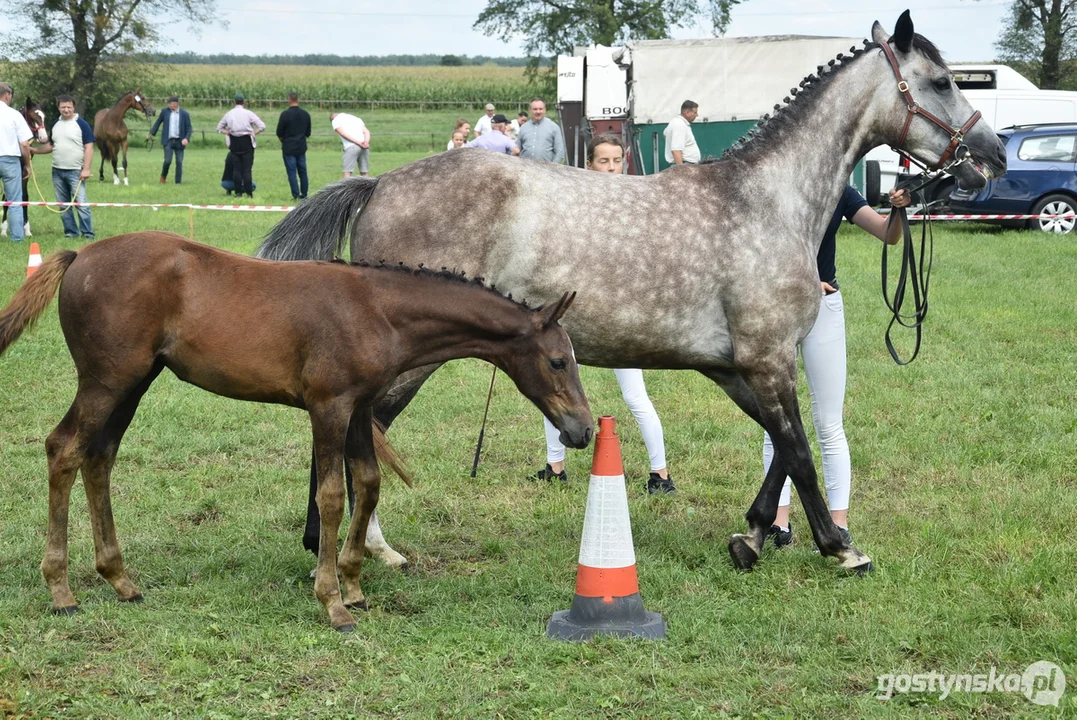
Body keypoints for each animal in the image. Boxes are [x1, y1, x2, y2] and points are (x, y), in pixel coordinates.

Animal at [0, 231, 594, 628]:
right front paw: (332, 602)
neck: (375, 308)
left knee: (99, 456)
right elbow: (331, 494)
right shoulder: (328, 407)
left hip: (134, 382)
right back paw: (62, 590)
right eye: (558, 361)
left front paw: (354, 586)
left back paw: (120, 580)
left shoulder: (359, 408)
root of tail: (81, 256)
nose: (583, 430)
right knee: (64, 449)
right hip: (107, 380)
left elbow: (368, 483)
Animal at [262, 14, 1008, 576]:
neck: (764, 201)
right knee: (360, 432)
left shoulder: (739, 366)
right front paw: (839, 547)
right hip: (408, 361)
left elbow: (778, 447)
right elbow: (796, 450)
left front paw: (752, 536)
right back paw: (356, 547)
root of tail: (378, 184)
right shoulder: (768, 360)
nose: (992, 156)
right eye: (941, 81)